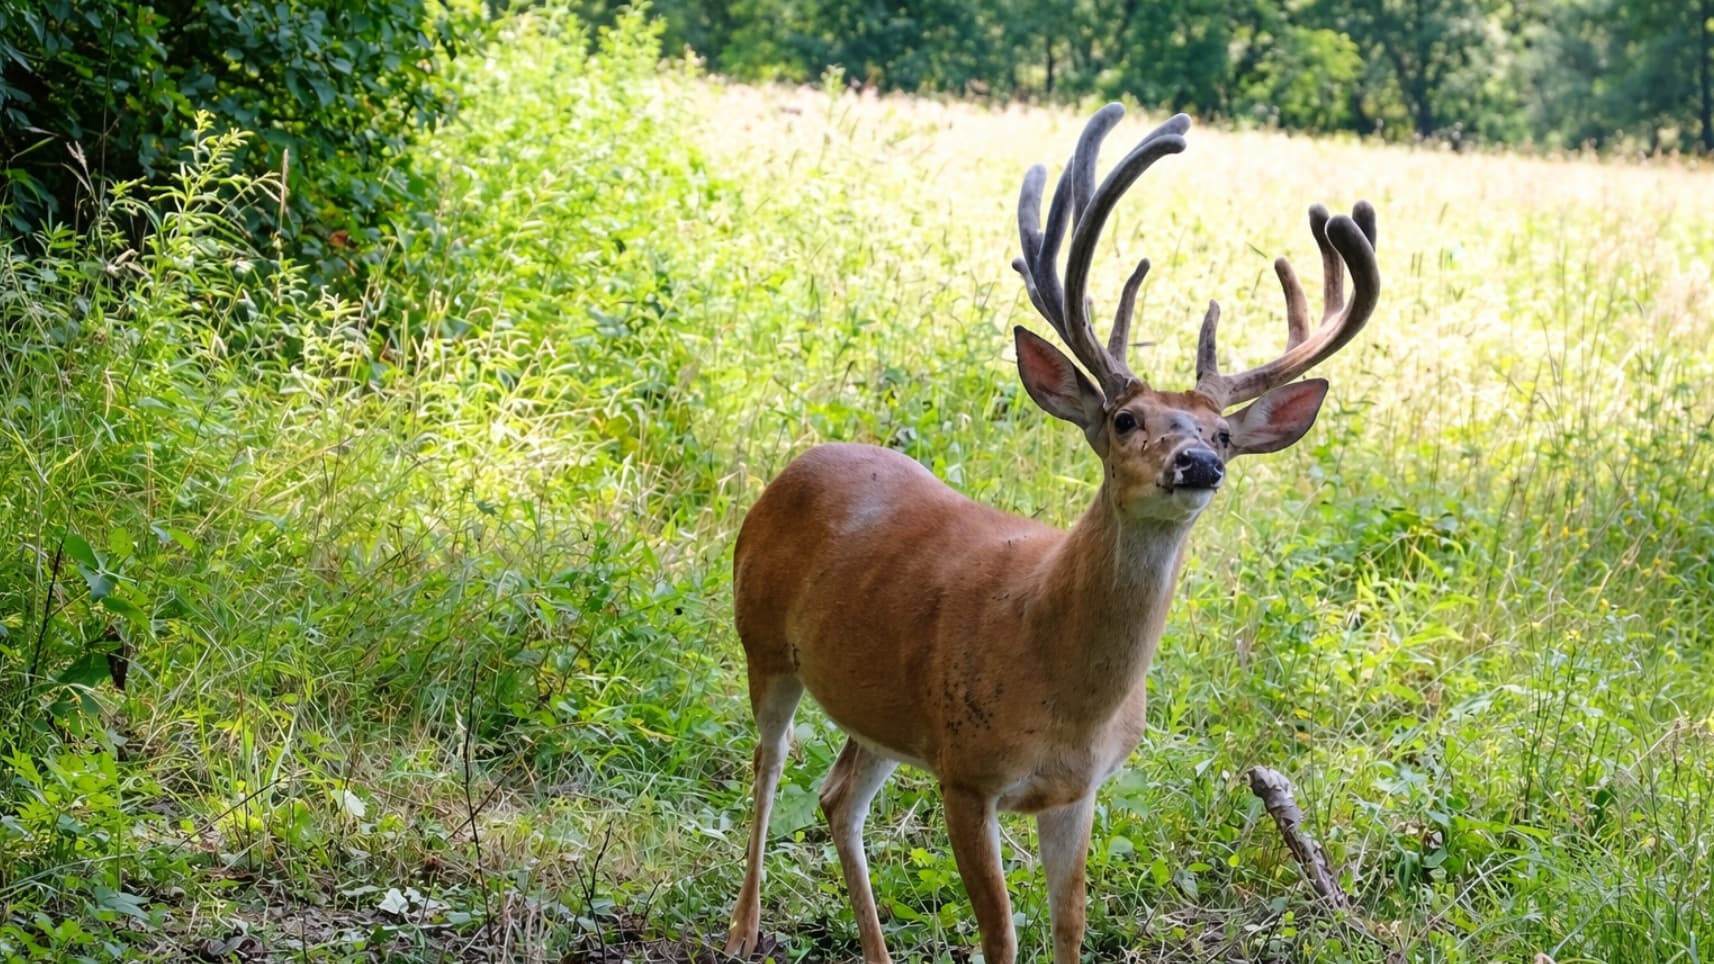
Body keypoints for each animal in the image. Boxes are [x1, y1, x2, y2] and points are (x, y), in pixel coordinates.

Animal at [722, 105, 1379, 964]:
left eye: (1223, 435)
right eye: (1126, 419)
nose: (1199, 463)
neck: (1064, 689)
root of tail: (798, 464)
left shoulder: (1076, 790)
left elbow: (1070, 927)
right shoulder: (967, 774)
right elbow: (1000, 936)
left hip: (880, 710)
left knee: (837, 797)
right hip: (763, 640)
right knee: (769, 765)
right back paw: (743, 926)